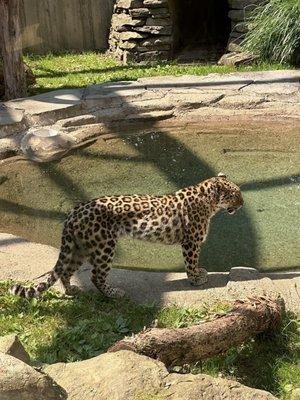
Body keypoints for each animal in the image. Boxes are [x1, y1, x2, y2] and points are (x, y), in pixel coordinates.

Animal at [10, 173, 244, 298]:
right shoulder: (191, 241)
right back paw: (114, 293)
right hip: (104, 246)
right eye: (234, 194)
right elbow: (191, 262)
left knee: (66, 271)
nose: (242, 204)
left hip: (79, 247)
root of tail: (74, 212)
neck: (210, 203)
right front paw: (196, 279)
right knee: (95, 276)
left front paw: (198, 275)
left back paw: (72, 290)